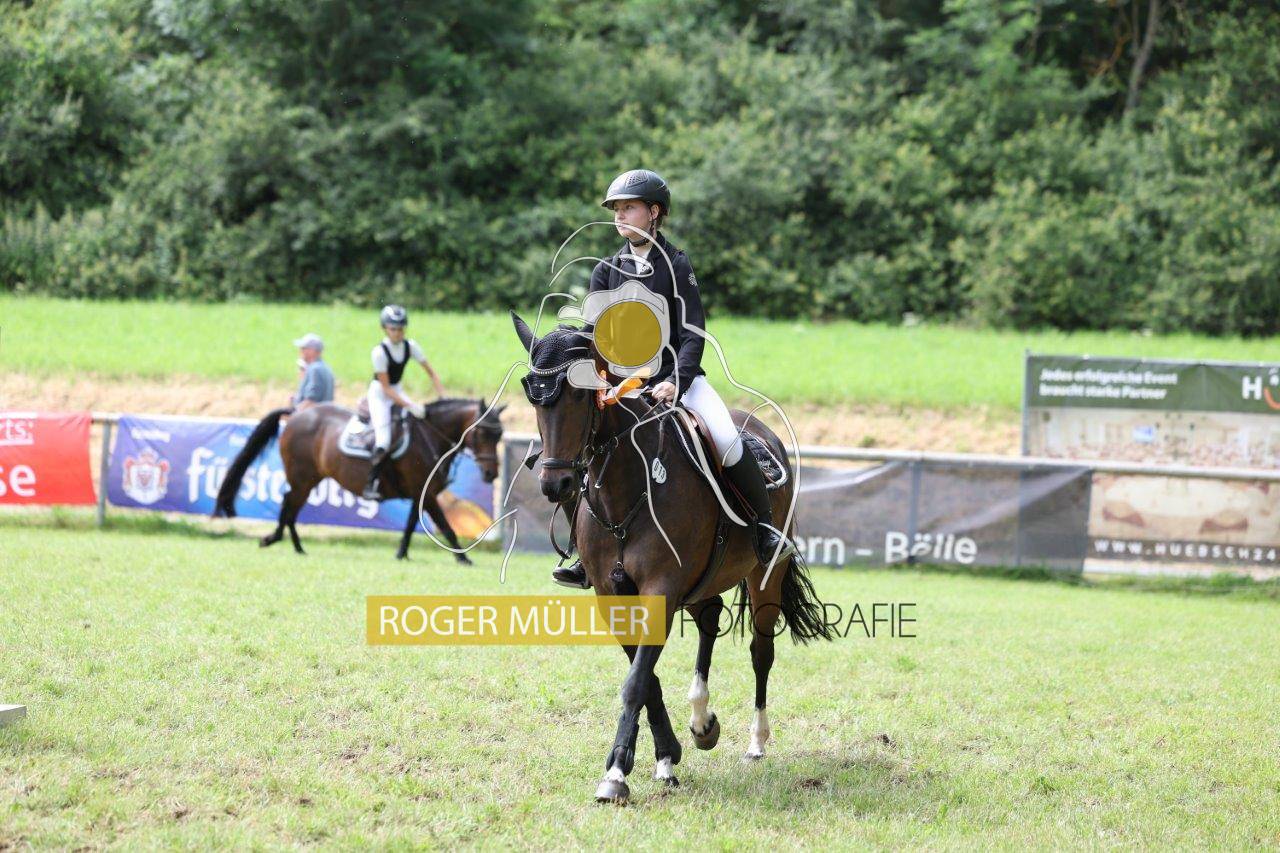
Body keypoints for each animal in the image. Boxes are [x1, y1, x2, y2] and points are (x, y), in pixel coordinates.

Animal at [213, 398, 504, 561]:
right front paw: (464, 559)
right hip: (302, 477)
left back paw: (295, 546)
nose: (492, 474)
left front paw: (402, 553)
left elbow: (412, 525)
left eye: (499, 435)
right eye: (482, 433)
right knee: (288, 504)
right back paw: (275, 539)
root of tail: (297, 412)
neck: (430, 437)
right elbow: (446, 526)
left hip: (310, 478)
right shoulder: (426, 492)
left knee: (291, 506)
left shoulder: (421, 493)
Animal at [512, 313, 832, 804]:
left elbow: (636, 681)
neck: (630, 489)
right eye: (533, 393)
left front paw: (615, 774)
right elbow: (646, 678)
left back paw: (756, 741)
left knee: (761, 651)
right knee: (710, 617)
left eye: (582, 393)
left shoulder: (660, 589)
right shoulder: (612, 595)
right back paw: (702, 721)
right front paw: (666, 756)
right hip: (704, 580)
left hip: (766, 574)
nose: (556, 484)